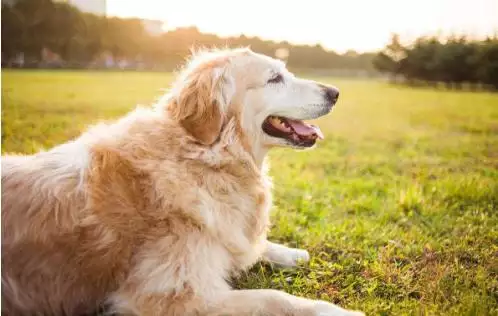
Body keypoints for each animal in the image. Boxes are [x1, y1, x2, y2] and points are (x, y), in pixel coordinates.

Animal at [1, 47, 364, 316]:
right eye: (274, 78)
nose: (335, 92)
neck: (204, 155)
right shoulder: (173, 296)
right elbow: (272, 297)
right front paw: (336, 311)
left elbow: (251, 246)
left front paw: (290, 253)